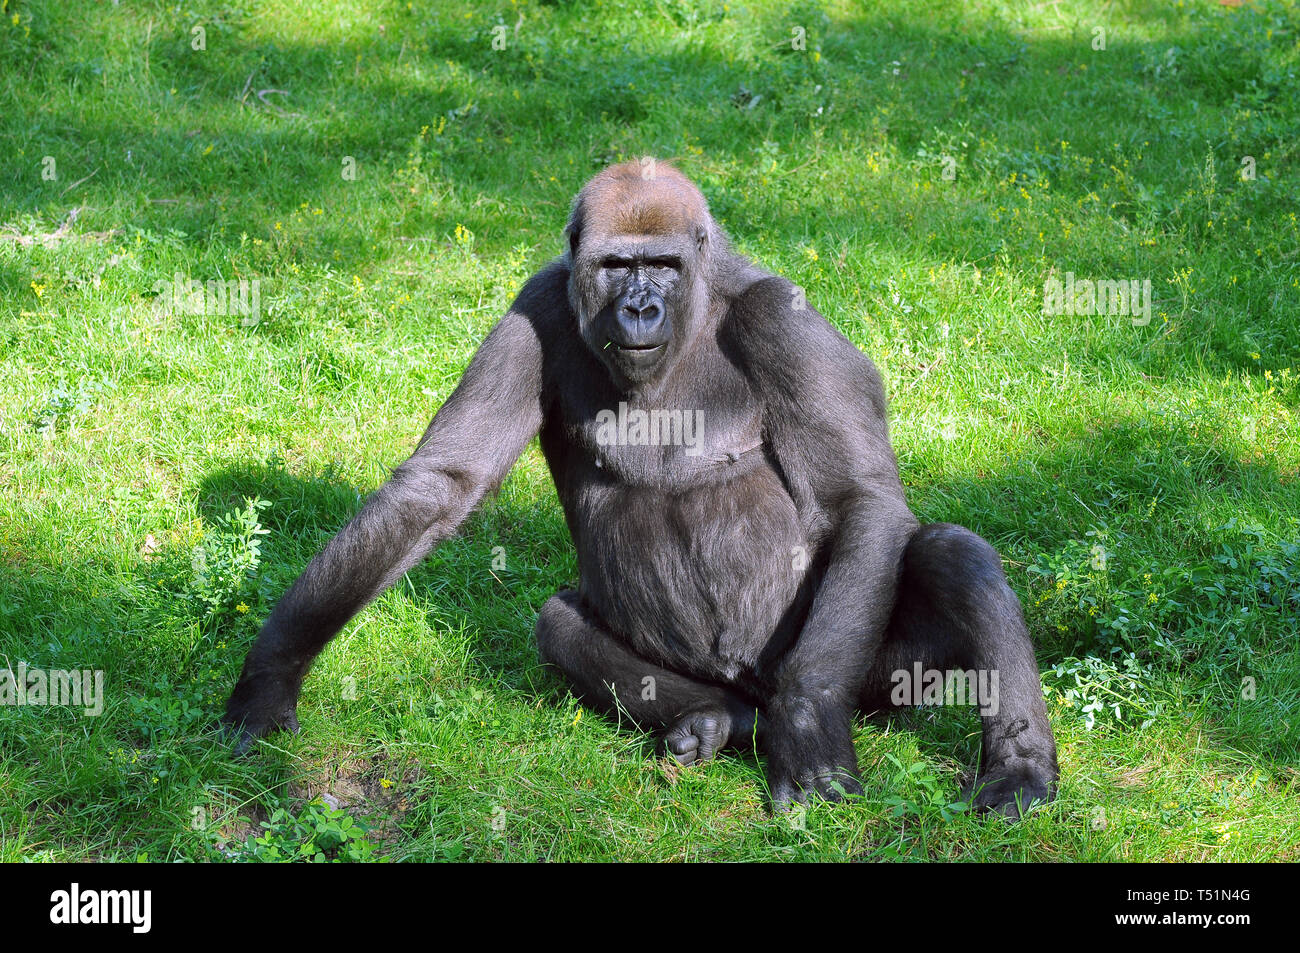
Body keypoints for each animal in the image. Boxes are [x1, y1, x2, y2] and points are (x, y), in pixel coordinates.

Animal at [223, 159, 1055, 816]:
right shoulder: (537, 302)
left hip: (870, 678)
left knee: (953, 554)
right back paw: (716, 719)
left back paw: (1016, 770)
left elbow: (859, 500)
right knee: (560, 624)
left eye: (664, 266)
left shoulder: (779, 314)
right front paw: (272, 673)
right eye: (618, 265)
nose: (641, 306)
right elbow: (440, 483)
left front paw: (810, 723)